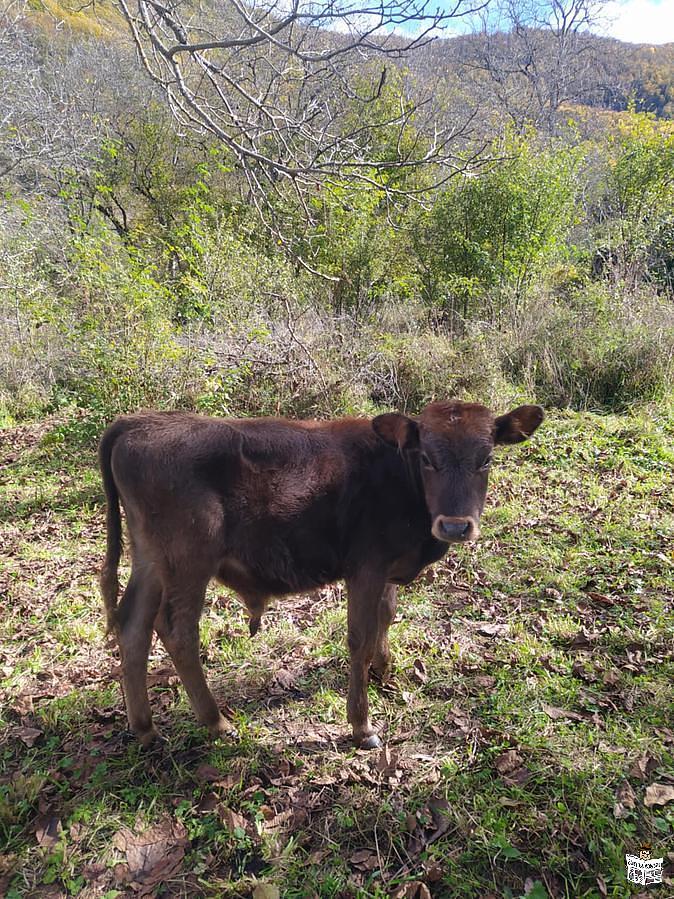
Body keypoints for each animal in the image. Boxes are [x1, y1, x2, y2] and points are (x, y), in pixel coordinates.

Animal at [98, 404, 540, 748]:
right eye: (427, 458)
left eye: (486, 459)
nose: (455, 526)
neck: (398, 475)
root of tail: (137, 422)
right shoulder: (365, 567)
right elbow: (360, 638)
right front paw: (362, 725)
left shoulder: (387, 569)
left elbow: (386, 617)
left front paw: (385, 672)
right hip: (190, 560)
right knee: (177, 631)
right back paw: (216, 721)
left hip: (151, 558)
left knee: (134, 625)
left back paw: (145, 728)